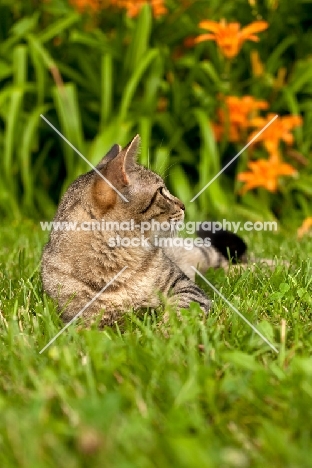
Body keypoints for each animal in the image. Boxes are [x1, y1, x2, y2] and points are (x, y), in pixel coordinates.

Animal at [41, 134, 246, 326]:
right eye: (162, 191)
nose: (183, 205)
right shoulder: (87, 319)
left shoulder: (184, 285)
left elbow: (182, 309)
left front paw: (166, 330)